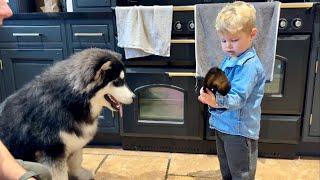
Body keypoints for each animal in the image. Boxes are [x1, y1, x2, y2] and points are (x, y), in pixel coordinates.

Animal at [0, 48, 134, 180]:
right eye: (117, 81)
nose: (134, 97)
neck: (69, 101)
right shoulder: (52, 150)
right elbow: (60, 174)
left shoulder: (75, 139)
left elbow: (77, 160)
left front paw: (81, 174)